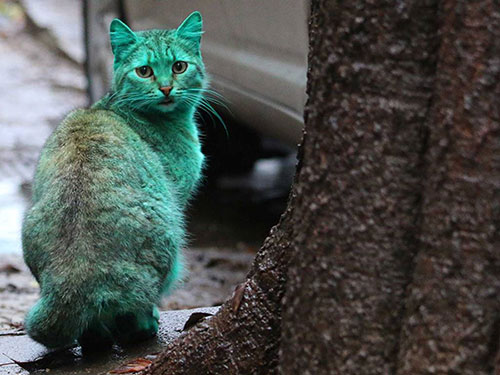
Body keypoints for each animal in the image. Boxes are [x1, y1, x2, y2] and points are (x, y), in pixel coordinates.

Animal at [21, 12, 205, 352]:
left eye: (178, 66)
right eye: (144, 71)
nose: (166, 88)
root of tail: (71, 283)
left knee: (93, 332)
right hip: (169, 237)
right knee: (134, 313)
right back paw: (144, 327)